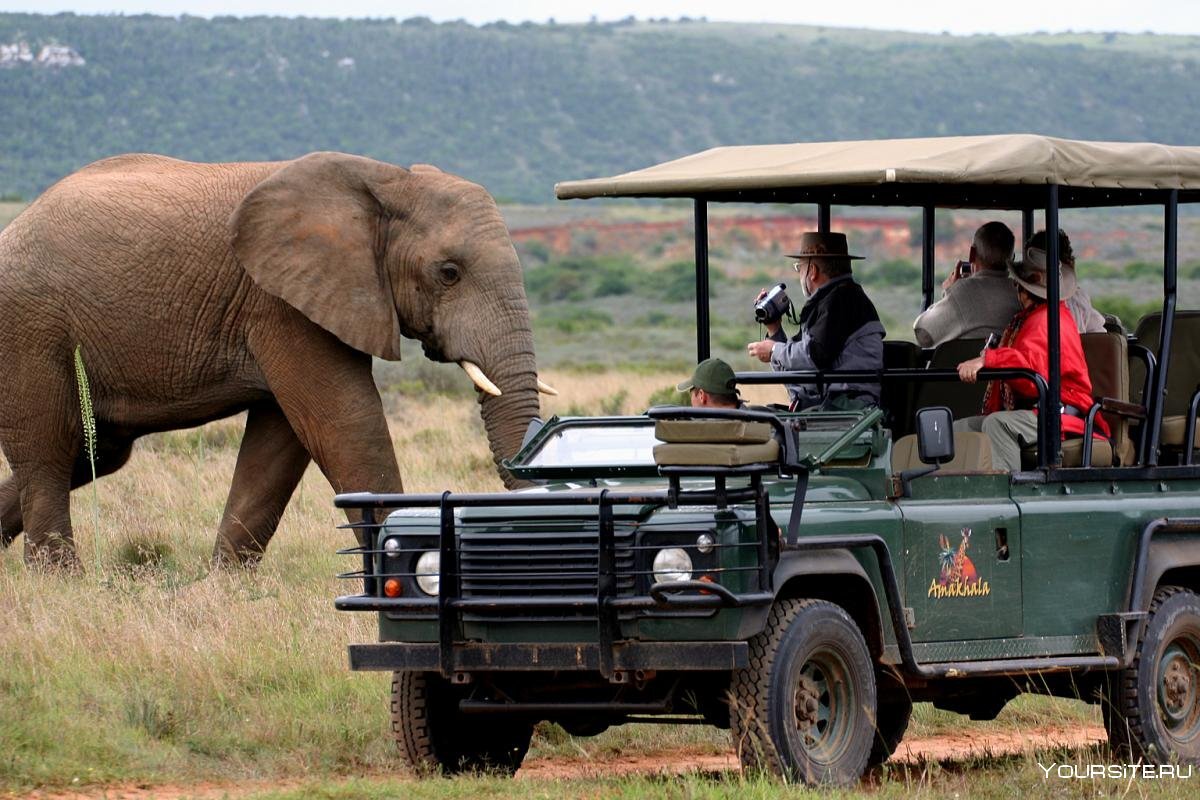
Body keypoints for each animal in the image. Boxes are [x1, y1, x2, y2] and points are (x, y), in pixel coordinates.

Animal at [0, 151, 552, 568]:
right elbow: (345, 421)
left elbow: (282, 443)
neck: (384, 180)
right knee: (49, 451)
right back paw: (61, 580)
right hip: (29, 329)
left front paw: (222, 587)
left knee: (94, 452)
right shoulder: (280, 303)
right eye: (449, 273)